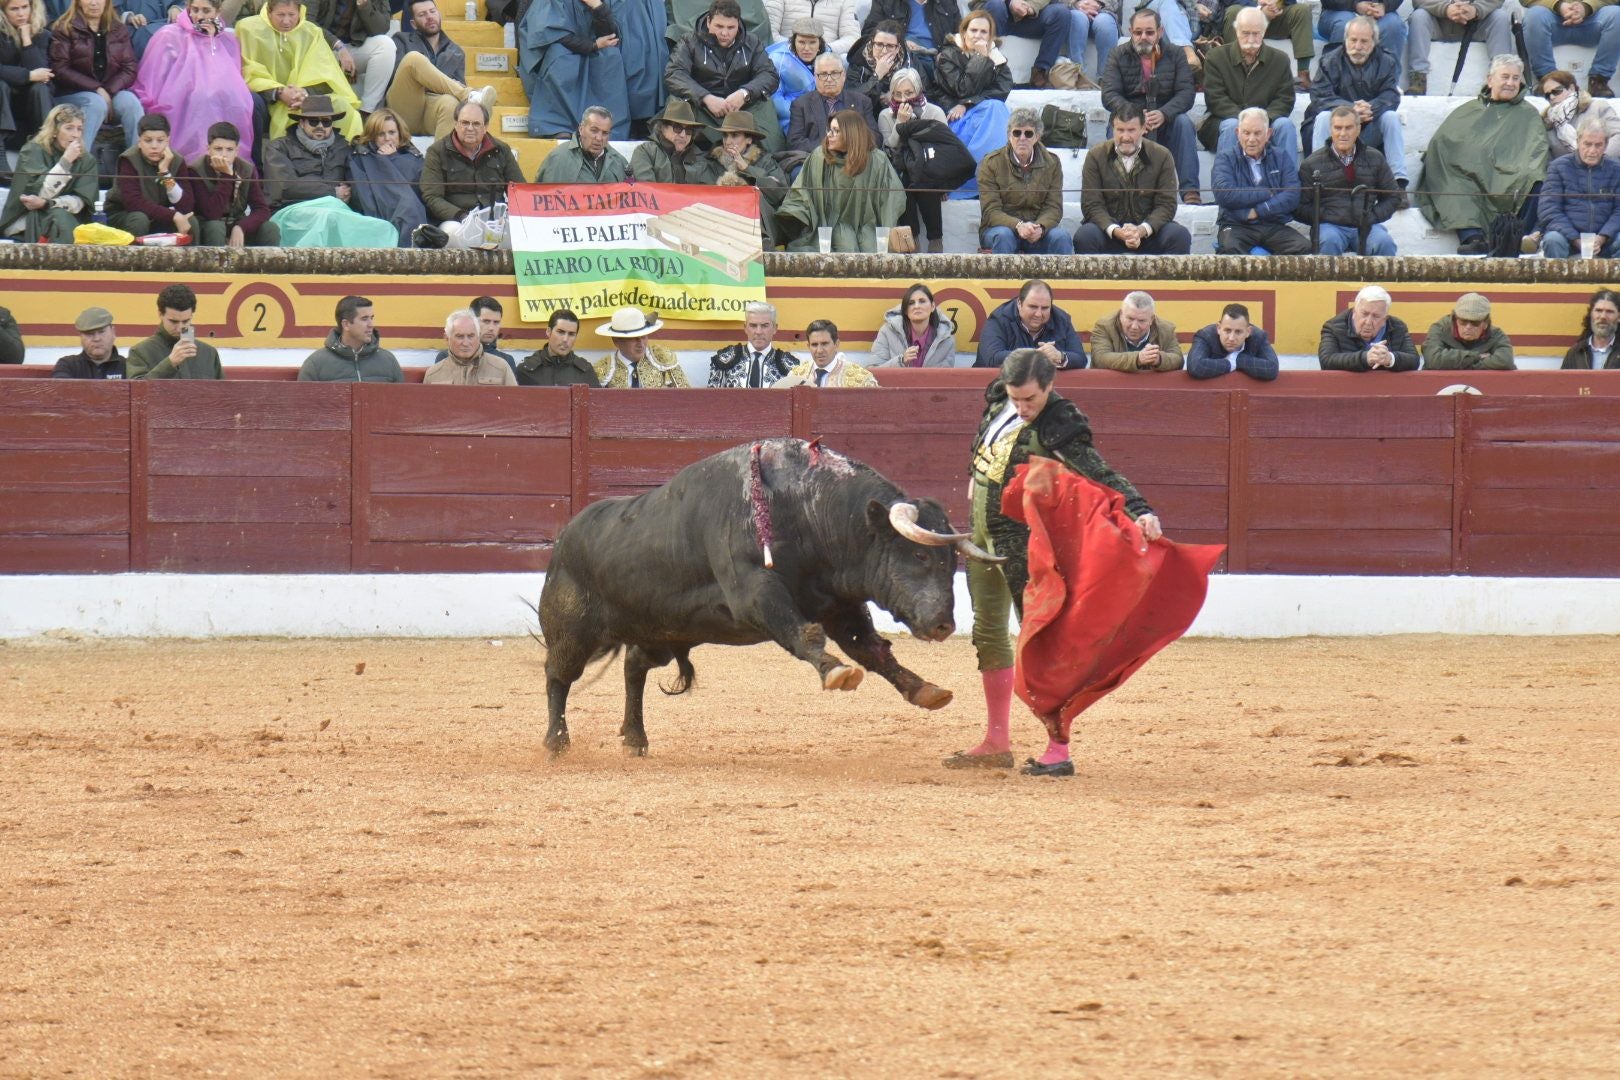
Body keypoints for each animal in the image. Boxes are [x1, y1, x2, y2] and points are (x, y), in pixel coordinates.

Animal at [537, 433, 1004, 757]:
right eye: (919, 555)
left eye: (950, 560)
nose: (943, 624)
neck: (809, 513)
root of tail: (564, 539)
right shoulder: (756, 594)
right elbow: (807, 634)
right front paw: (835, 671)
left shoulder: (839, 605)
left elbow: (873, 650)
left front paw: (924, 689)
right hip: (572, 631)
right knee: (558, 676)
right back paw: (555, 741)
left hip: (663, 633)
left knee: (633, 667)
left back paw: (634, 738)